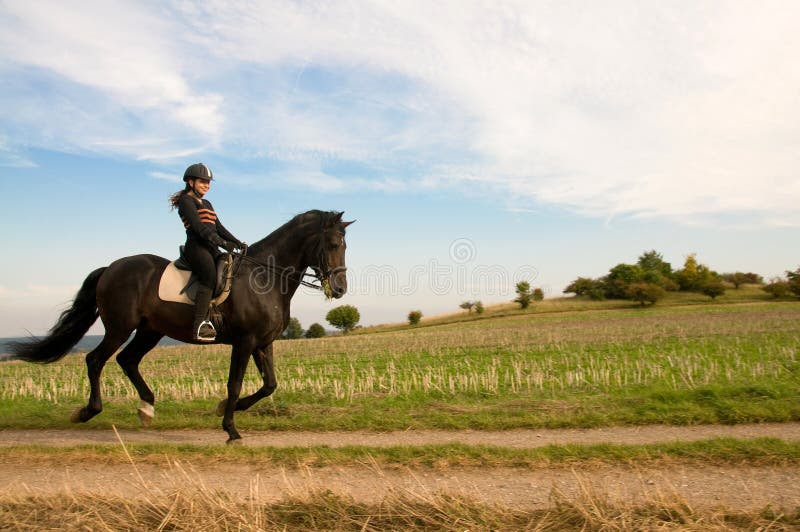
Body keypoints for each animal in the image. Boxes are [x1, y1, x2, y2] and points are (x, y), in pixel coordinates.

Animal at [9, 210, 354, 442]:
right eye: (332, 243)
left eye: (344, 245)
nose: (339, 289)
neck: (265, 277)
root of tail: (110, 268)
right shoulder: (245, 341)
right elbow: (235, 383)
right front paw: (230, 429)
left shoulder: (262, 342)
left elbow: (269, 384)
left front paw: (225, 410)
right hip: (120, 328)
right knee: (96, 359)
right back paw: (88, 411)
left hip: (150, 330)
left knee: (127, 360)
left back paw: (146, 408)